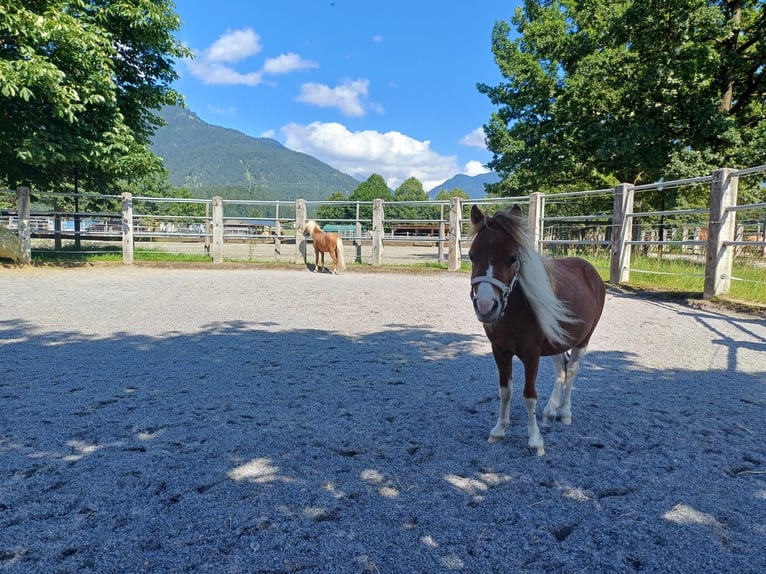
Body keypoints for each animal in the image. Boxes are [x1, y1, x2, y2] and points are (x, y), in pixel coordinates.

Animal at [468, 205, 608, 456]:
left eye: (513, 258)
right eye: (472, 255)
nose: (485, 306)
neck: (516, 312)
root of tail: (589, 269)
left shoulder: (531, 355)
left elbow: (529, 396)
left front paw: (535, 441)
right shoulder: (500, 351)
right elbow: (505, 391)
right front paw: (499, 430)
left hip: (583, 339)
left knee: (572, 370)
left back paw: (565, 412)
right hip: (557, 342)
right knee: (561, 370)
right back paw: (550, 410)